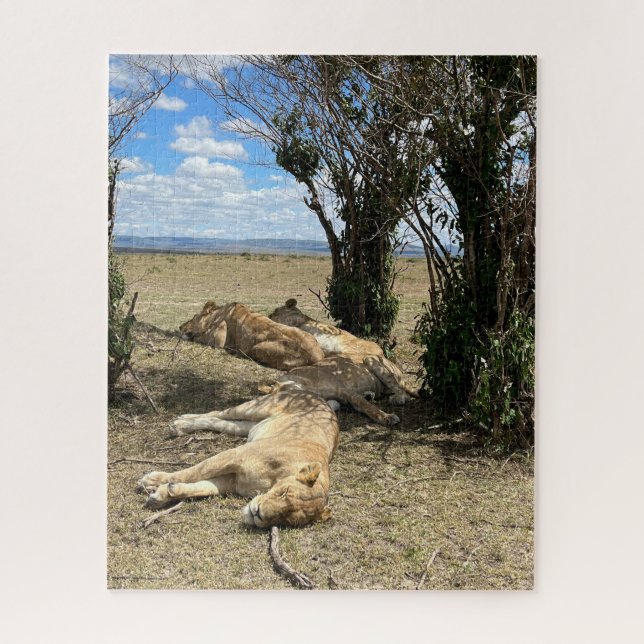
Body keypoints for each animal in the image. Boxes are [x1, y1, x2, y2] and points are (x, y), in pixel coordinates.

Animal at [137, 390, 338, 528]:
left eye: (287, 518)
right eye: (285, 492)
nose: (258, 514)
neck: (273, 480)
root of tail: (319, 397)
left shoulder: (234, 481)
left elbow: (203, 488)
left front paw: (161, 494)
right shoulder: (235, 455)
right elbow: (191, 473)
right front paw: (150, 481)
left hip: (247, 426)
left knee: (221, 422)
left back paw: (181, 425)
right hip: (255, 407)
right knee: (218, 412)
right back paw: (181, 422)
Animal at [179, 301, 324, 370]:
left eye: (194, 316)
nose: (180, 326)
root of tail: (319, 356)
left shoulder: (219, 338)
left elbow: (198, 338)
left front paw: (187, 335)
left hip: (257, 348)